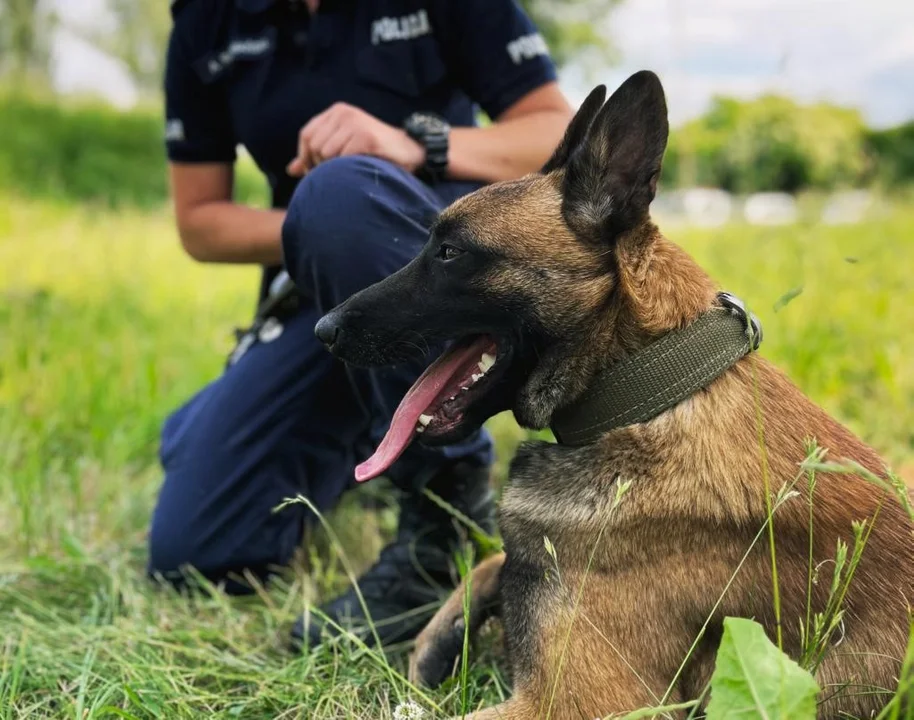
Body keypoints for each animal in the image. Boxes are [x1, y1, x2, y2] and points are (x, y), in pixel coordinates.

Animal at [314, 70, 912, 716]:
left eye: (449, 252)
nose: (324, 330)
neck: (645, 395)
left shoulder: (572, 702)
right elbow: (494, 559)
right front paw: (438, 637)